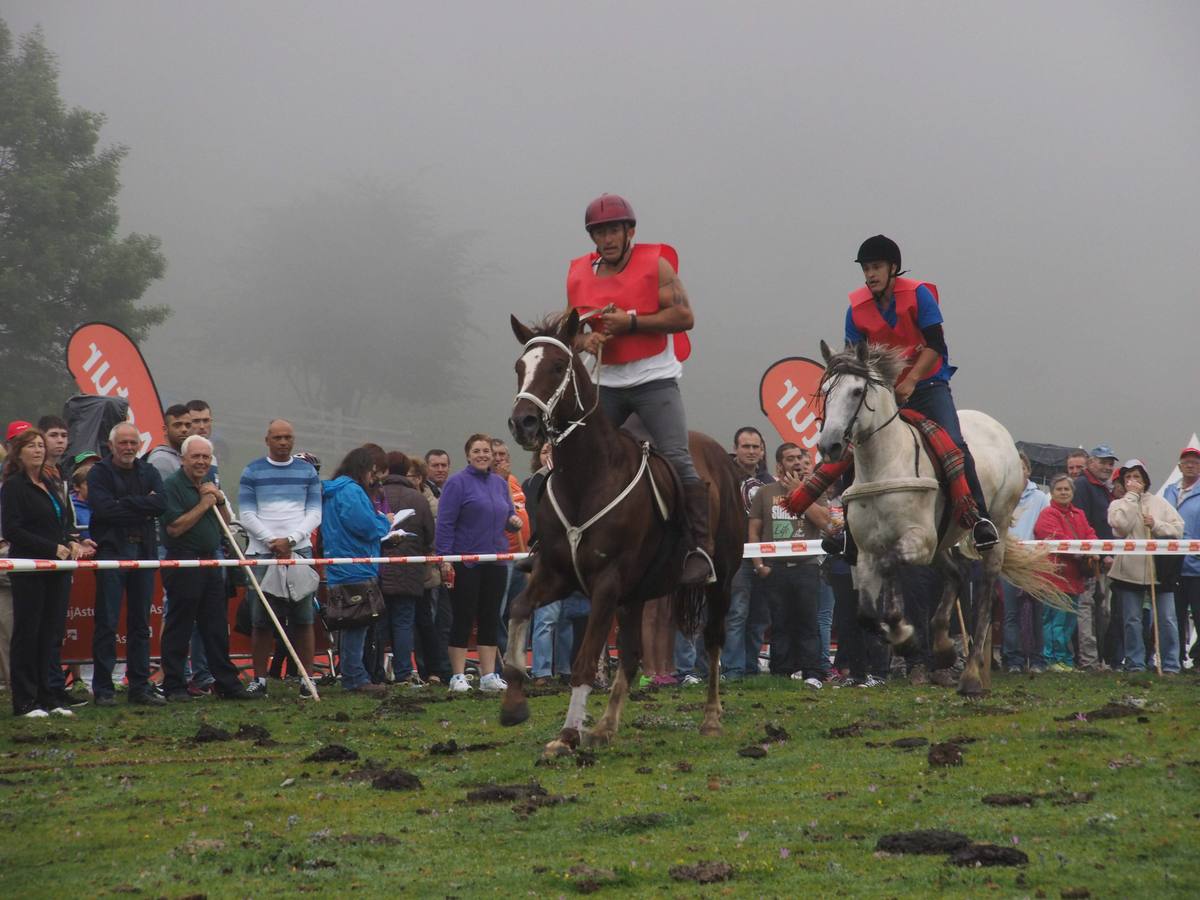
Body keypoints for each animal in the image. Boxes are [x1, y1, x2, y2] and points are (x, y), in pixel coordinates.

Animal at [496, 309, 739, 753]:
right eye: (520, 367)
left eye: (557, 366)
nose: (524, 423)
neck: (587, 477)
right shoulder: (555, 574)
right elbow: (520, 609)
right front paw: (515, 703)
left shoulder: (606, 584)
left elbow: (584, 661)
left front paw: (567, 735)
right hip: (636, 595)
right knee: (630, 654)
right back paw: (606, 726)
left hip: (723, 578)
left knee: (713, 640)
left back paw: (712, 718)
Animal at [816, 340, 1060, 696]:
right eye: (825, 391)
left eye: (857, 390)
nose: (829, 445)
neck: (886, 464)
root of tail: (996, 428)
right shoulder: (867, 551)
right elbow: (865, 612)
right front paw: (904, 637)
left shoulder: (918, 539)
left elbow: (890, 568)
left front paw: (903, 634)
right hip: (942, 542)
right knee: (957, 573)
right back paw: (944, 648)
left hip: (993, 528)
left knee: (984, 592)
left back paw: (971, 675)